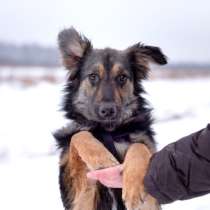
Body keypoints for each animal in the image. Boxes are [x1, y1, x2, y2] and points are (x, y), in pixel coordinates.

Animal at [54, 27, 167, 210]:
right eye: (93, 76)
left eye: (122, 77)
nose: (108, 110)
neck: (109, 131)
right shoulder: (81, 196)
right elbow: (79, 135)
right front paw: (102, 159)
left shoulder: (150, 201)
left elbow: (138, 146)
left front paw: (134, 186)